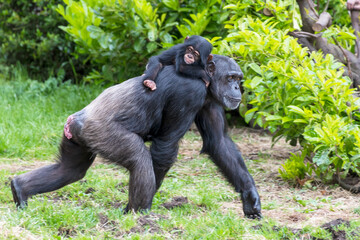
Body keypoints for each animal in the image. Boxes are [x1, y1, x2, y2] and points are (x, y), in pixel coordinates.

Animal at [11, 54, 262, 219]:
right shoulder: (189, 93)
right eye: (230, 77)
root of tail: (75, 121)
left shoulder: (210, 103)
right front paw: (135, 207)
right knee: (140, 159)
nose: (238, 88)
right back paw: (139, 215)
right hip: (103, 133)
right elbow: (165, 146)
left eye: (238, 78)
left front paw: (250, 197)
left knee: (70, 169)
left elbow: (218, 142)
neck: (204, 79)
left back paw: (19, 189)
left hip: (77, 139)